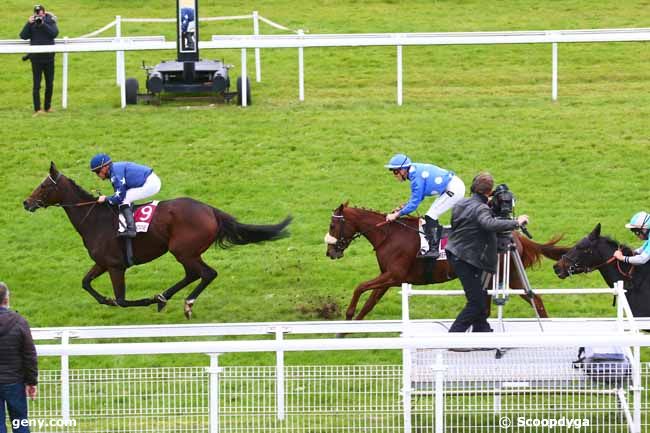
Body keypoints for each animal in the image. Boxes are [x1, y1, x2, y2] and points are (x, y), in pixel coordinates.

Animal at [23, 162, 292, 318]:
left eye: (44, 186)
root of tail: (211, 210)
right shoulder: (102, 263)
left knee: (207, 273)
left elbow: (122, 300)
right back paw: (163, 298)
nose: (26, 202)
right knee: (194, 274)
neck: (95, 219)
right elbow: (86, 283)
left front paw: (141, 300)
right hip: (187, 252)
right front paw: (106, 300)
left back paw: (184, 303)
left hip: (183, 250)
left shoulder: (115, 265)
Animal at [324, 202, 568, 320]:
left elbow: (359, 287)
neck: (389, 235)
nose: (330, 252)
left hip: (509, 276)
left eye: (333, 225)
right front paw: (344, 332)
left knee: (535, 300)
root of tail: (514, 236)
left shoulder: (393, 275)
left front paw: (347, 315)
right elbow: (369, 304)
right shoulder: (390, 278)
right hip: (499, 278)